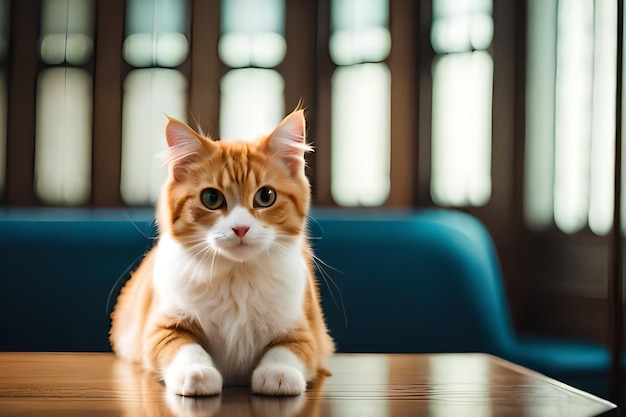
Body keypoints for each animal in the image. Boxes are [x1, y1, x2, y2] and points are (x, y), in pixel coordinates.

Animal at [108, 109, 332, 394]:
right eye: (212, 199)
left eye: (266, 196)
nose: (241, 228)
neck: (238, 276)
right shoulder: (160, 327)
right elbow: (184, 346)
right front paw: (196, 373)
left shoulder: (307, 331)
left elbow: (288, 349)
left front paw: (279, 374)